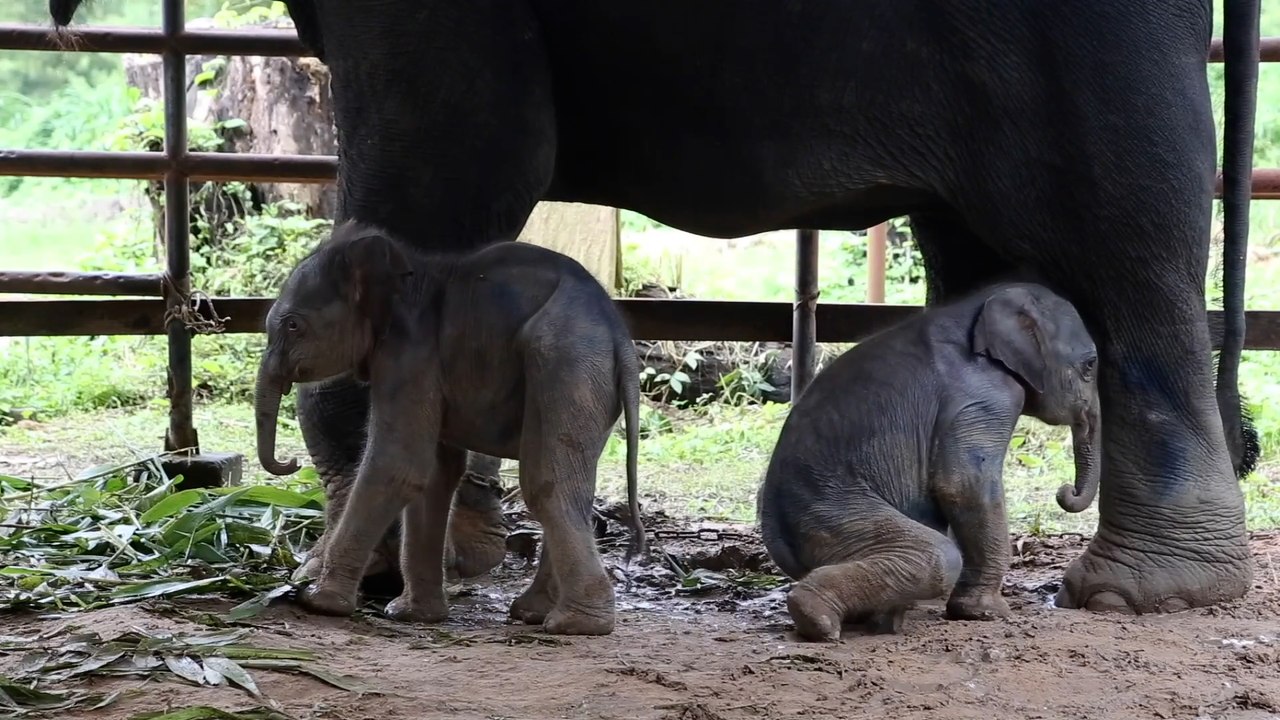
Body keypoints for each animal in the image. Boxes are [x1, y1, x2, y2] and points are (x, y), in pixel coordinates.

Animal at [254, 220, 645, 635]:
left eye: (293, 325)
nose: (290, 463)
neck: (410, 271)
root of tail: (621, 337)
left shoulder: (410, 356)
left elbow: (398, 466)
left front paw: (318, 602)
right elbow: (434, 474)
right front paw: (411, 615)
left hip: (567, 364)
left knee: (548, 483)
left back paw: (574, 624)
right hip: (591, 385)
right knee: (574, 484)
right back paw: (533, 613)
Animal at [757, 282, 1100, 642]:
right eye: (1091, 364)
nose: (1065, 492)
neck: (977, 307)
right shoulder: (986, 397)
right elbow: (964, 485)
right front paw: (988, 613)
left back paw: (880, 621)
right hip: (830, 512)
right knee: (938, 557)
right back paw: (821, 621)